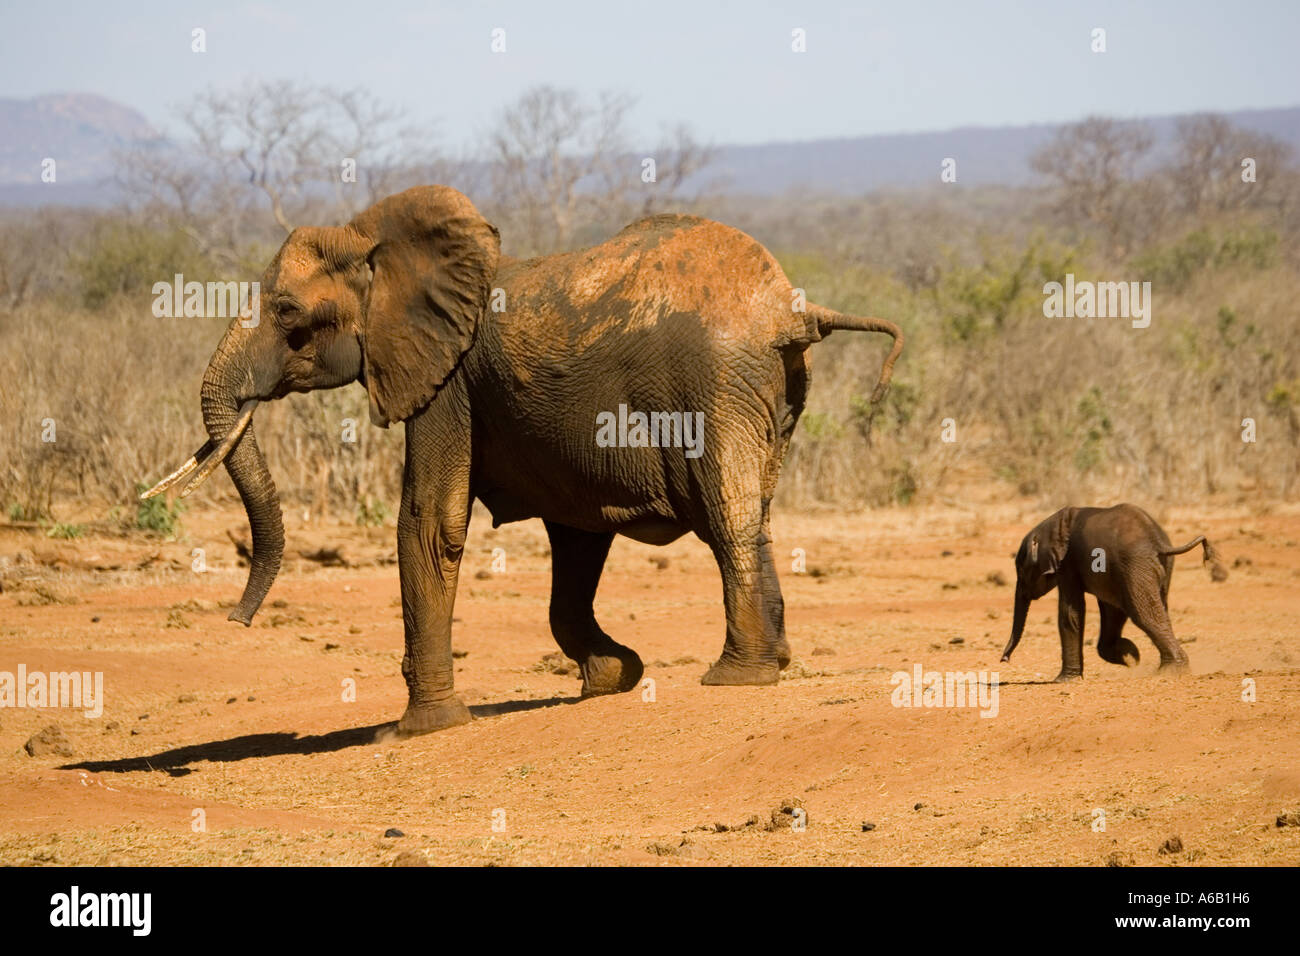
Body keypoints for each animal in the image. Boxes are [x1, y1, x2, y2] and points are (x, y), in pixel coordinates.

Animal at [137, 188, 899, 738]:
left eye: (289, 314)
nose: (235, 621)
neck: (381, 243)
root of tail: (791, 310)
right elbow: (577, 539)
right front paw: (613, 677)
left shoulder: (448, 384)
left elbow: (430, 521)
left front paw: (416, 732)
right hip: (771, 389)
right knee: (756, 509)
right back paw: (775, 661)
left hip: (714, 384)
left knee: (729, 511)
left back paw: (737, 678)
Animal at [998, 502, 1222, 681]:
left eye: (1021, 570)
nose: (1004, 659)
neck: (1052, 524)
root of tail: (1158, 542)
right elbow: (1112, 611)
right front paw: (1131, 657)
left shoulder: (1068, 564)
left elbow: (1071, 614)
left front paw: (1064, 680)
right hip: (1159, 566)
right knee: (1158, 610)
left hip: (1135, 564)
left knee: (1143, 613)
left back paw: (1171, 671)